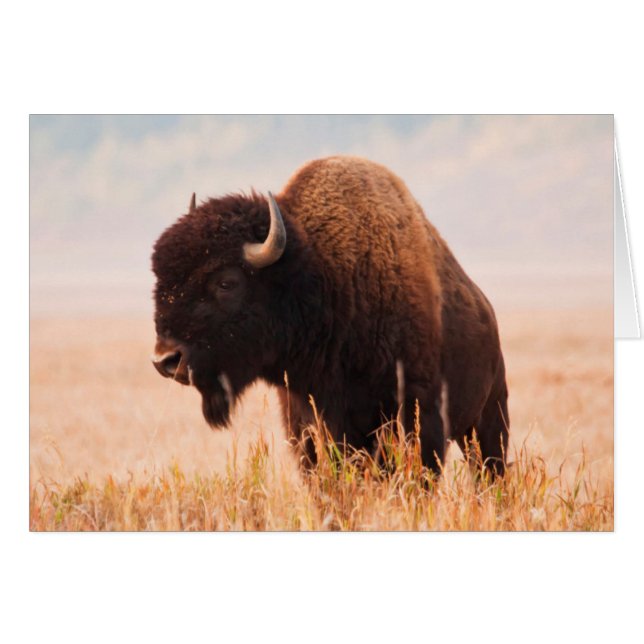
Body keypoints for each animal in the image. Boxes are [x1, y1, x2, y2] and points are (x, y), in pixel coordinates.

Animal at [151, 156, 509, 474]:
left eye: (226, 282)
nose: (166, 359)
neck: (324, 278)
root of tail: (486, 310)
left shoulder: (418, 416)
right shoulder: (306, 423)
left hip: (488, 419)